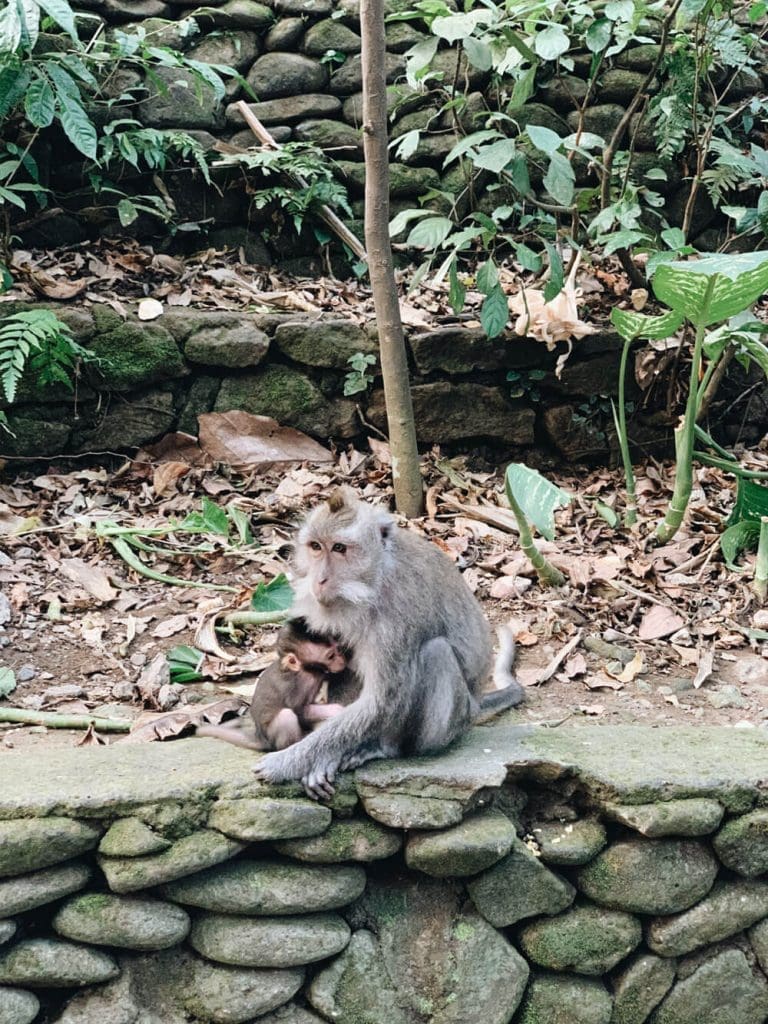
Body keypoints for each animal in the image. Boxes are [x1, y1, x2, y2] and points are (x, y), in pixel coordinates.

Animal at [195, 614, 348, 753]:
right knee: (286, 716)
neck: (304, 669)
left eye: (338, 649)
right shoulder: (300, 683)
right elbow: (298, 709)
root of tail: (260, 738)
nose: (342, 661)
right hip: (273, 737)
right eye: (330, 656)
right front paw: (336, 710)